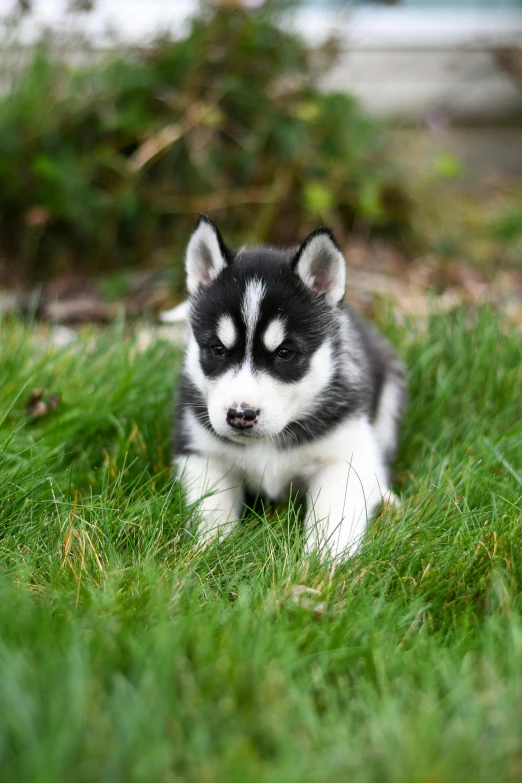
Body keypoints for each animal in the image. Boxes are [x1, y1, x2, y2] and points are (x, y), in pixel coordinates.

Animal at [173, 214, 404, 556]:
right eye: (217, 349)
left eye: (284, 353)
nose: (240, 416)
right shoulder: (202, 454)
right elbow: (212, 510)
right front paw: (210, 551)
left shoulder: (344, 456)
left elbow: (334, 517)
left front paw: (323, 563)